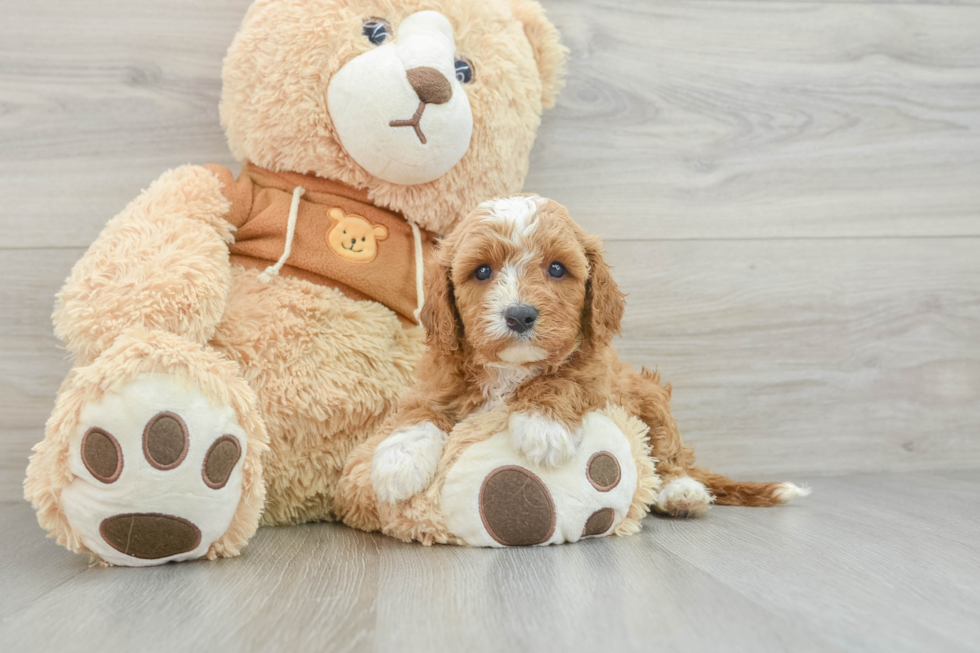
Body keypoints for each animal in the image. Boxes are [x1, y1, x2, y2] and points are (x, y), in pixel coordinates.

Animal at [372, 195, 808, 516]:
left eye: (557, 268)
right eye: (481, 271)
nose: (520, 315)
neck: (513, 369)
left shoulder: (600, 374)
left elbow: (563, 379)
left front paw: (542, 426)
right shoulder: (437, 380)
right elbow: (420, 411)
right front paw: (397, 462)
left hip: (651, 397)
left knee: (669, 455)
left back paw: (683, 492)